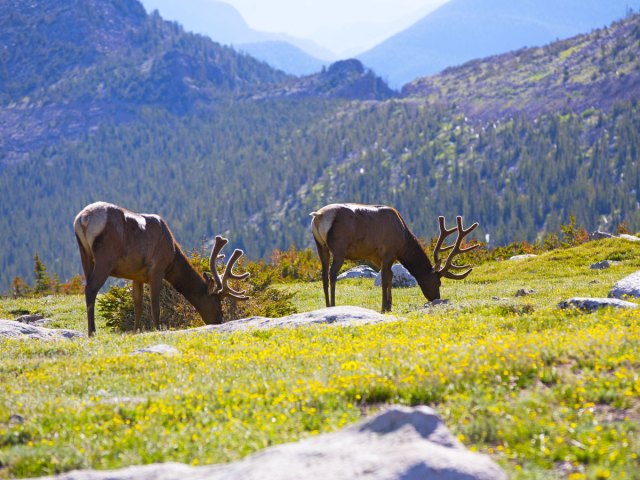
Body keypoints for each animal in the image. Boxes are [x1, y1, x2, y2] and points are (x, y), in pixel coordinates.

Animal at [72, 201, 248, 336]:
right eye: (217, 302)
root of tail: (83, 219)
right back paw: (92, 332)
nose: (220, 321)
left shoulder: (136, 275)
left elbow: (138, 305)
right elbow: (155, 306)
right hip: (105, 257)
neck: (172, 258)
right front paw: (157, 329)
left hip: (84, 254)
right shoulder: (157, 269)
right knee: (91, 288)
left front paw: (136, 331)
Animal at [308, 204, 478, 314]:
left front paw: (389, 305)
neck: (403, 242)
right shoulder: (388, 252)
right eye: (437, 282)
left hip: (320, 246)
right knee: (332, 274)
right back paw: (333, 305)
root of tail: (318, 216)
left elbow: (390, 277)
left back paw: (326, 305)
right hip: (339, 247)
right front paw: (384, 307)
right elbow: (384, 279)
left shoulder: (377, 257)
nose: (436, 298)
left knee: (323, 275)